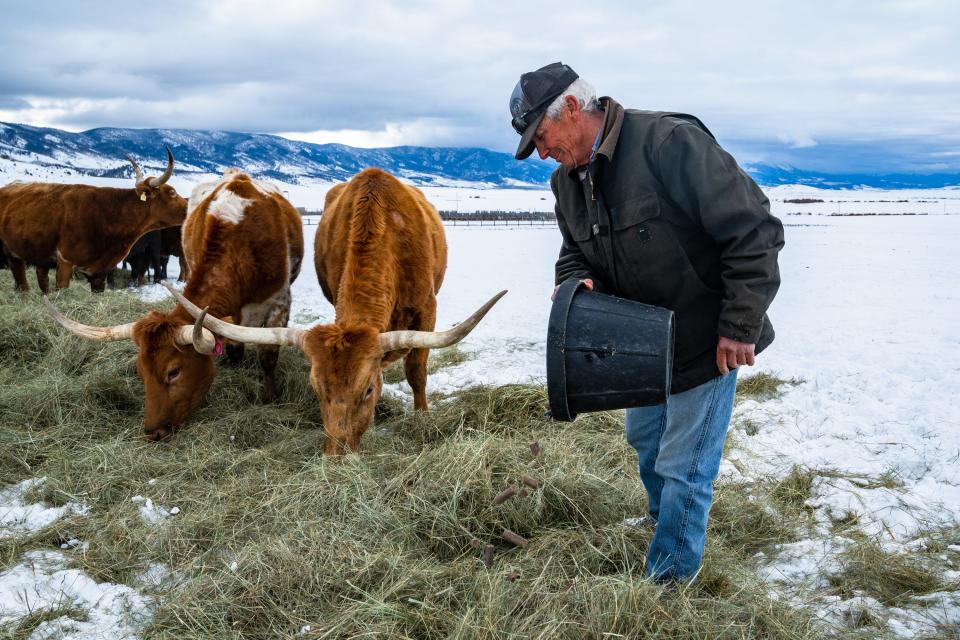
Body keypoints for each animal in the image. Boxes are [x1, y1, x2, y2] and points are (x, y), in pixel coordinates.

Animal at [0, 148, 188, 292]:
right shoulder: (65, 263)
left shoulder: (100, 271)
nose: (190, 205)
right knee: (22, 280)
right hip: (13, 254)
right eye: (172, 192)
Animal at [45, 169, 304, 440]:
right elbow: (234, 348)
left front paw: (271, 398)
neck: (243, 245)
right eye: (140, 371)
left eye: (174, 372)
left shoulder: (280, 303)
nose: (152, 432)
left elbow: (268, 355)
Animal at [169, 168, 506, 452]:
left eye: (368, 390)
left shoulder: (427, 310)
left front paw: (421, 416)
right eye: (316, 390)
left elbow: (416, 372)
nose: (337, 455)